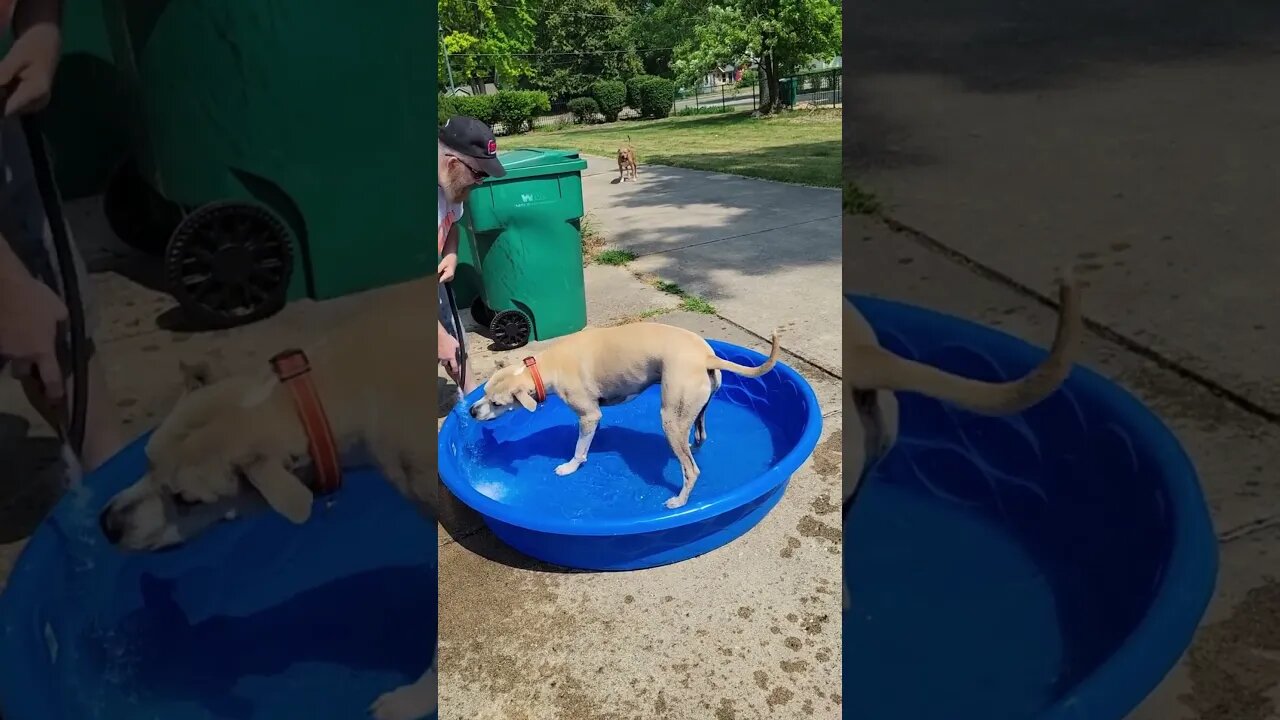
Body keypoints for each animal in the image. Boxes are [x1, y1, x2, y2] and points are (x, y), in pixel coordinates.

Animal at [471, 322, 778, 507]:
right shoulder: (594, 415)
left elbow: (580, 449)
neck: (545, 367)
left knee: (691, 470)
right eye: (483, 392)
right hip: (696, 409)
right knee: (700, 436)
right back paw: (692, 447)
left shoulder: (588, 414)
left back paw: (679, 501)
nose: (472, 411)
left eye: (497, 403)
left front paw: (570, 467)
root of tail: (706, 356)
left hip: (670, 418)